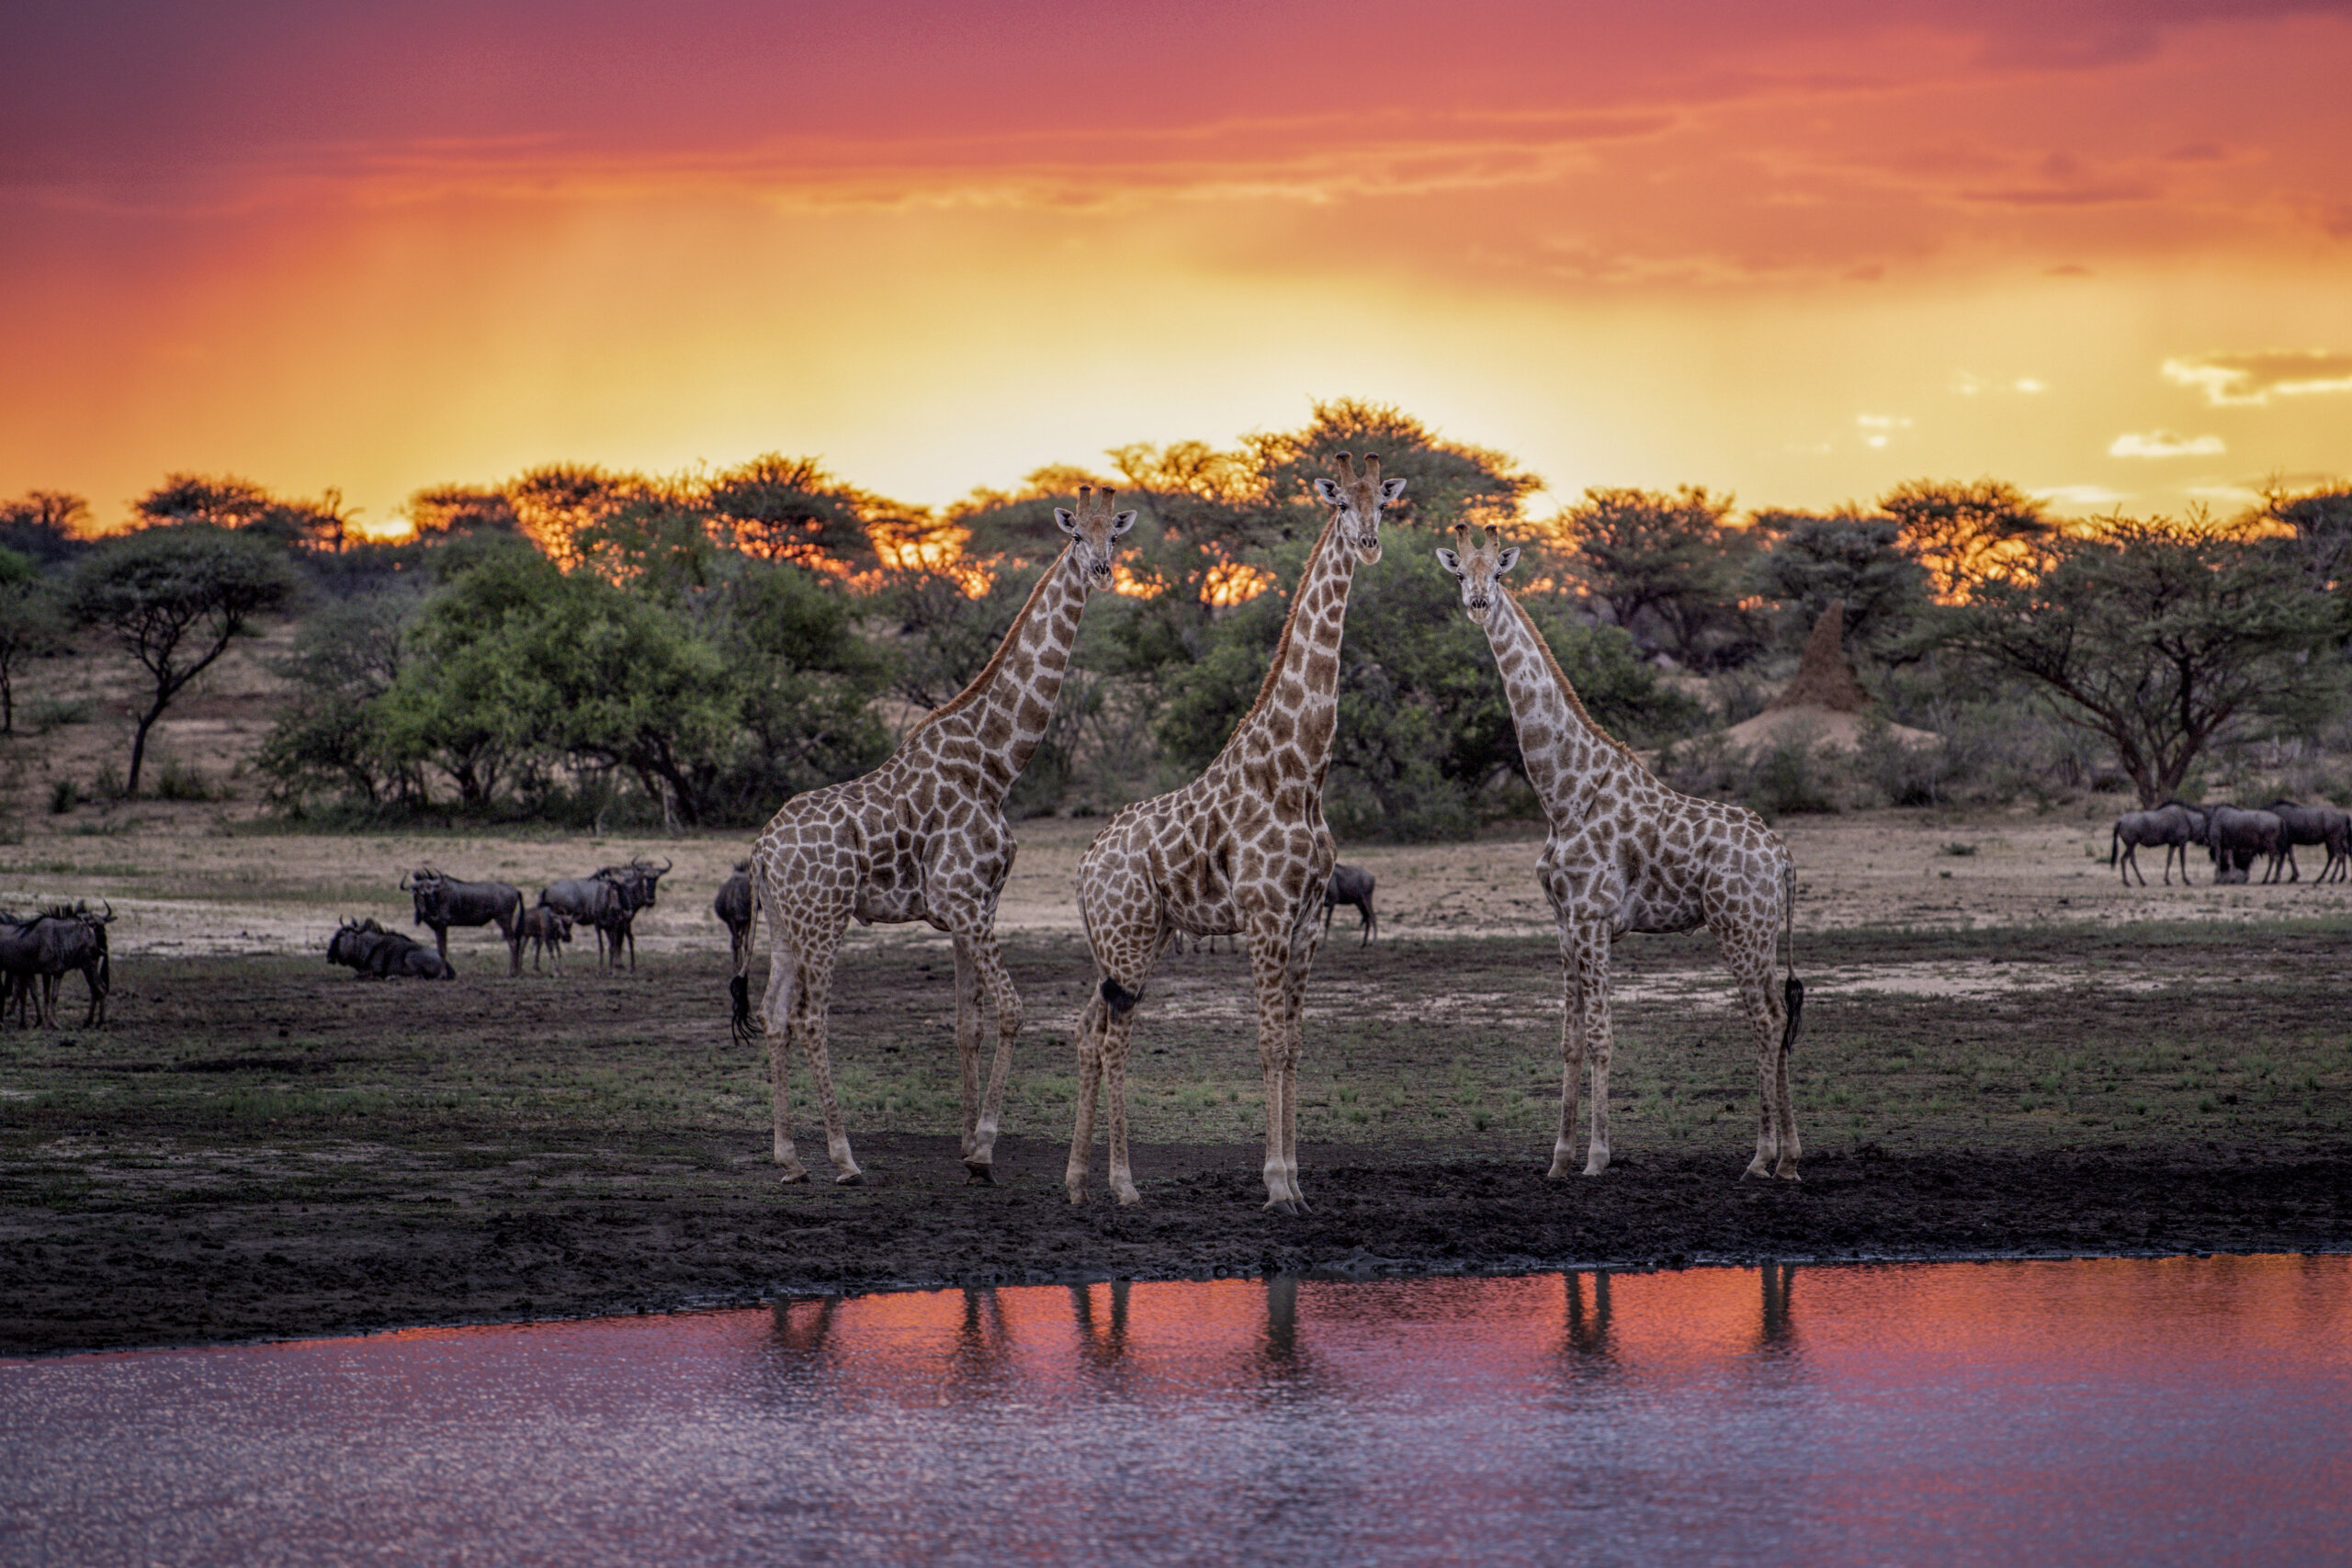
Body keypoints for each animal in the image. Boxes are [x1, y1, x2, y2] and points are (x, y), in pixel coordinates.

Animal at [729, 484, 1143, 1184]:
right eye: (1074, 536)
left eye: (1113, 534)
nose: (1101, 570)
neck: (996, 764)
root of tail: (761, 849)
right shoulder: (964, 901)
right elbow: (1013, 1011)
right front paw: (986, 1147)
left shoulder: (973, 908)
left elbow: (966, 1023)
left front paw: (967, 1145)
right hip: (823, 917)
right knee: (811, 1019)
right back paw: (843, 1157)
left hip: (785, 924)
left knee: (774, 1014)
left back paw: (789, 1158)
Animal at [1072, 446, 1411, 1213]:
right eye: (1340, 502)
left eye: (1384, 499)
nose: (1370, 543)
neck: (1300, 771)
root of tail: (1085, 864)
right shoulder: (1264, 916)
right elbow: (1265, 1043)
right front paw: (1277, 1185)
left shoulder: (1307, 920)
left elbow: (1292, 1045)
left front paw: (1298, 1184)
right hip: (1128, 940)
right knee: (1113, 1039)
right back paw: (1123, 1183)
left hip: (1134, 938)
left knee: (1086, 1029)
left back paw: (1076, 1179)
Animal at [1430, 526, 1796, 1175]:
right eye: (1459, 574)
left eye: (1496, 573)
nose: (1477, 603)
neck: (1563, 792)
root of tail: (1779, 855)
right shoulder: (1564, 922)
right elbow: (1570, 1039)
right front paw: (1558, 1159)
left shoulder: (1595, 918)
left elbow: (1602, 1035)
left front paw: (1598, 1156)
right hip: (1761, 929)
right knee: (1780, 1015)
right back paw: (1791, 1158)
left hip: (1739, 927)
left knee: (1768, 1018)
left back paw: (1761, 1159)